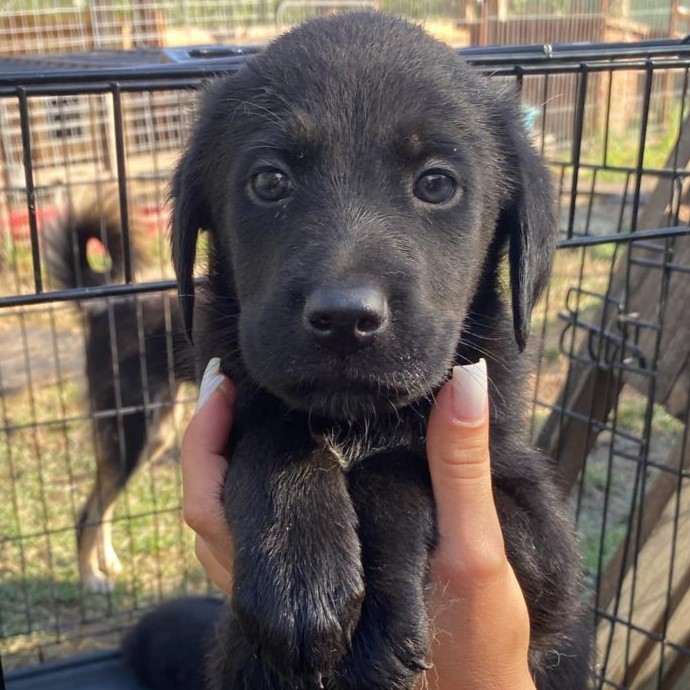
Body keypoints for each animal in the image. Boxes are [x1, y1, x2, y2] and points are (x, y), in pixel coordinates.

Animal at [45, 194, 196, 592]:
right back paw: (90, 578)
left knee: (103, 505)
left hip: (152, 436)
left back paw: (106, 561)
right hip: (132, 433)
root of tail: (103, 307)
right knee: (87, 514)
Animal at [122, 12, 584, 688]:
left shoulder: (544, 551)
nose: (345, 318)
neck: (353, 421)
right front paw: (298, 567)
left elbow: (399, 466)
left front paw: (373, 618)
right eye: (270, 181)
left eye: (436, 184)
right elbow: (273, 429)